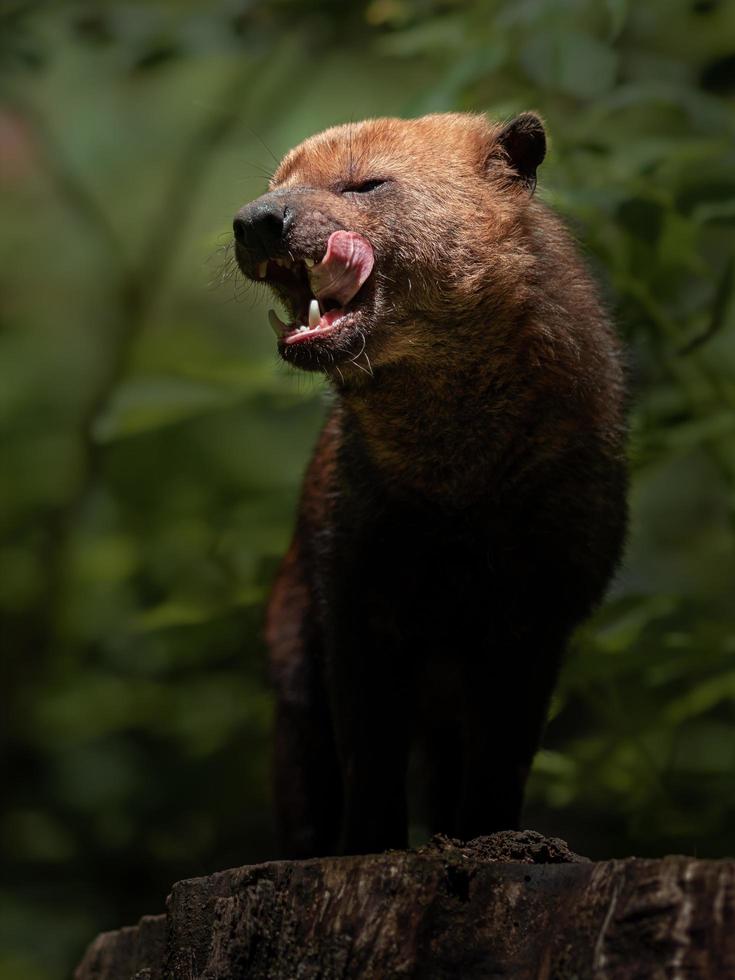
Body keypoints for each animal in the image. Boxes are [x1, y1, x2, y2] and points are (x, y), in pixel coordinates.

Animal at [234, 111, 628, 852]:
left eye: (365, 183)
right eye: (275, 183)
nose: (253, 220)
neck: (454, 480)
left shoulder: (537, 613)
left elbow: (503, 760)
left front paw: (494, 844)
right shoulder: (356, 598)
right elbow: (370, 754)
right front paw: (369, 849)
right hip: (294, 690)